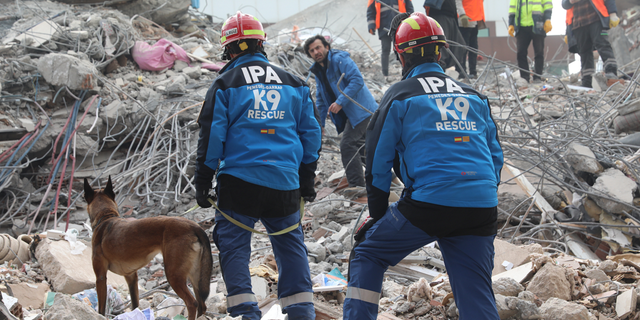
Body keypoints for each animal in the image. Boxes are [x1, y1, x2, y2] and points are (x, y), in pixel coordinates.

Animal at [82, 176, 211, 318]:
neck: (105, 217)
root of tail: (194, 226)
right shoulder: (131, 277)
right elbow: (135, 304)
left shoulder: (100, 277)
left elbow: (101, 309)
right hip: (196, 276)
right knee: (202, 305)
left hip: (174, 275)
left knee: (192, 303)